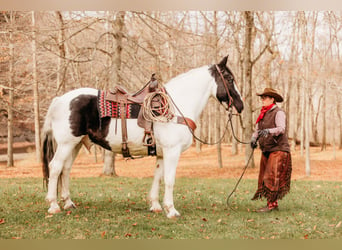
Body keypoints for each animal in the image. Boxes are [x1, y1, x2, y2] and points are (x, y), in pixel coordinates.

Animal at [42, 55, 243, 218]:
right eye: (229, 78)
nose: (240, 105)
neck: (174, 107)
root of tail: (60, 100)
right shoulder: (172, 151)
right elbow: (169, 179)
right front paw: (171, 210)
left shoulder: (161, 153)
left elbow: (158, 177)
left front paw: (156, 205)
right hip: (66, 143)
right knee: (55, 167)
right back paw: (53, 205)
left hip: (75, 144)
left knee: (66, 169)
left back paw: (68, 202)